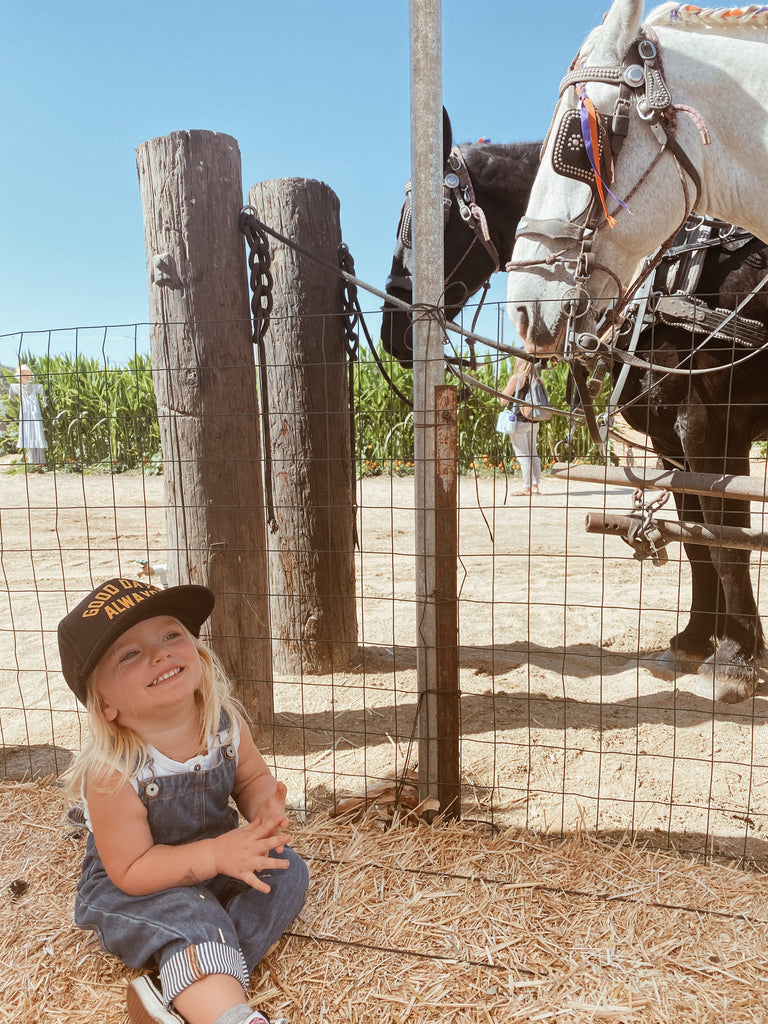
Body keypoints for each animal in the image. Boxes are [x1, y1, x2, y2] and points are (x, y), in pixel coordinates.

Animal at [382, 114, 768, 704]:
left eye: (424, 220)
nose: (392, 329)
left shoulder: (710, 428)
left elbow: (727, 542)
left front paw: (735, 658)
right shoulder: (671, 442)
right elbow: (696, 539)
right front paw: (697, 639)